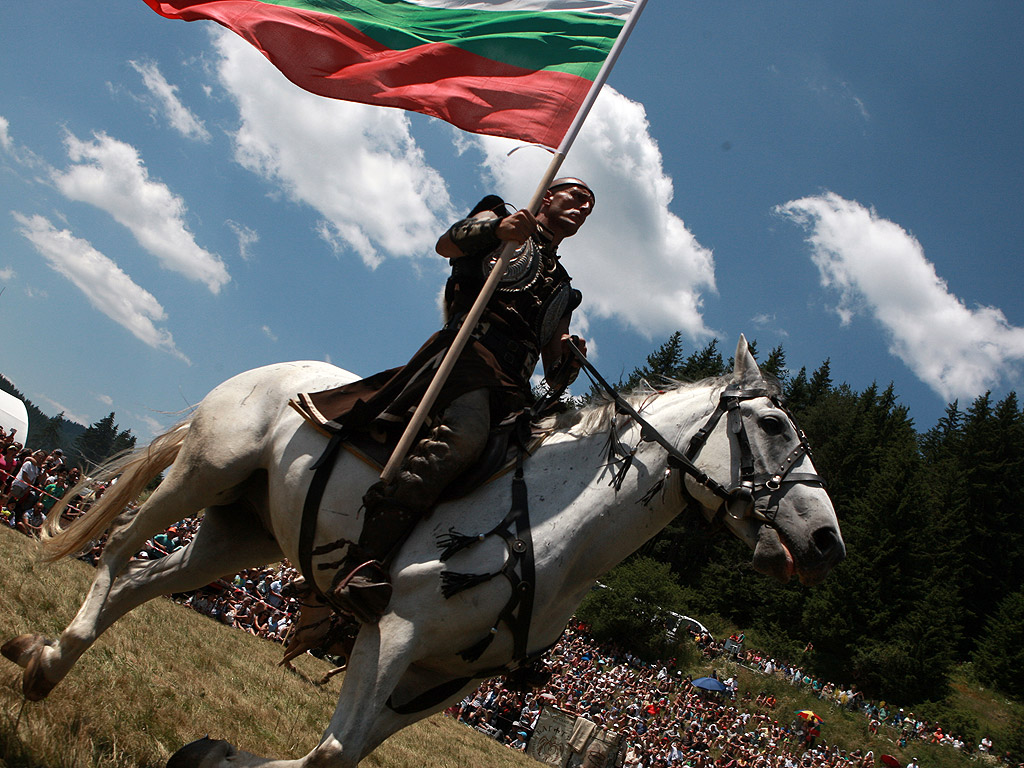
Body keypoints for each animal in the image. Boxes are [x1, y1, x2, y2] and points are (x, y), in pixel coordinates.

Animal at [4, 335, 843, 768]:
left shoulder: (441, 679)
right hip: (200, 473)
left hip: (238, 529)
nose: (826, 541)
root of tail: (275, 373)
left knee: (143, 582)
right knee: (118, 553)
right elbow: (332, 752)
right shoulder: (394, 632)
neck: (556, 531)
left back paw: (47, 664)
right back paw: (43, 663)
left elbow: (338, 758)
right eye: (774, 426)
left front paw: (218, 757)